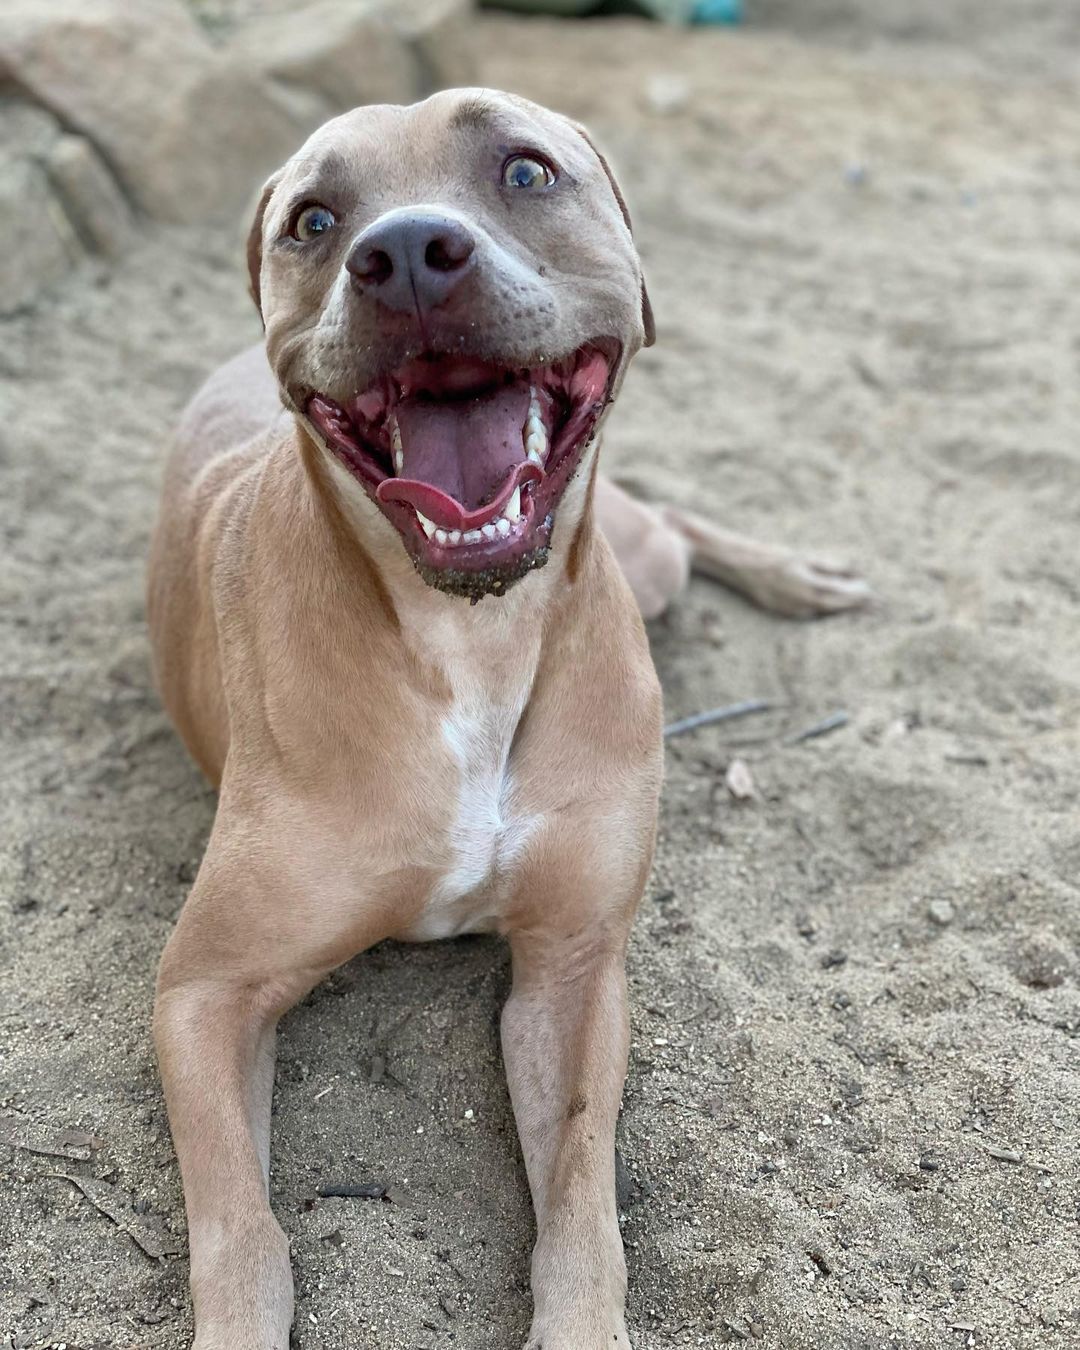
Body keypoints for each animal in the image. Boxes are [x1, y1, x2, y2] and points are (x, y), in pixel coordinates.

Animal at [145, 87, 869, 1350]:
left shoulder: (572, 973)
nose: (403, 257)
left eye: (525, 170)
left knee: (679, 523)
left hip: (649, 561)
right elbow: (242, 1237)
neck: (469, 643)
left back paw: (797, 576)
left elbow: (581, 1203)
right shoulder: (204, 993)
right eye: (314, 219)